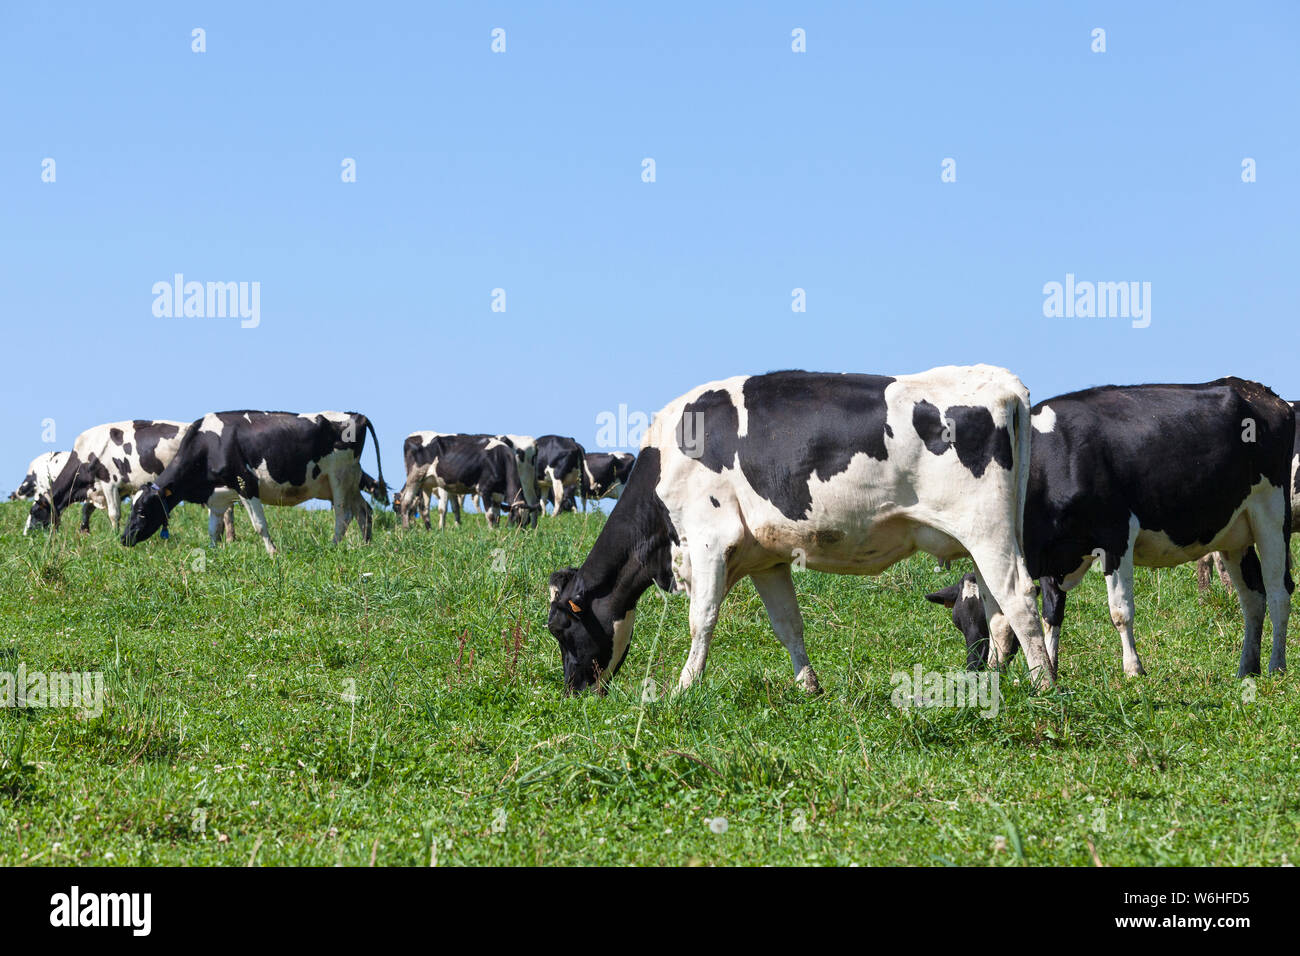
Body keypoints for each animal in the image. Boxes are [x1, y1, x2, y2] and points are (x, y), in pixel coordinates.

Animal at [27, 421, 189, 534]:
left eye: (34, 512)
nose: (26, 535)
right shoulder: (101, 488)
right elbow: (86, 510)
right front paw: (84, 532)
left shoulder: (109, 483)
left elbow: (113, 513)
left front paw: (115, 536)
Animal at [122, 411, 386, 554]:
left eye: (142, 511)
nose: (124, 538)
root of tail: (357, 415)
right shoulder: (217, 496)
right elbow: (213, 529)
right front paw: (213, 552)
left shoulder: (246, 483)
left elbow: (259, 525)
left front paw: (272, 552)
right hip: (348, 480)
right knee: (364, 511)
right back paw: (365, 546)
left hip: (339, 476)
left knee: (344, 515)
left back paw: (332, 546)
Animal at [398, 432, 537, 529]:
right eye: (515, 519)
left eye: (526, 522)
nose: (519, 535)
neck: (499, 458)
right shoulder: (484, 489)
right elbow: (490, 515)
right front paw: (492, 532)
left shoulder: (497, 494)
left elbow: (497, 515)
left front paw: (497, 530)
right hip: (415, 477)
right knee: (406, 502)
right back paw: (406, 529)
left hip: (426, 482)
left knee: (424, 507)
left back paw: (429, 530)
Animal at [547, 366, 1055, 696]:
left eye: (560, 628)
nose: (574, 692)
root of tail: (1002, 382)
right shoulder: (765, 559)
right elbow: (788, 624)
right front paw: (809, 687)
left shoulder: (709, 539)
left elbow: (701, 619)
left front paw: (682, 690)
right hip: (988, 538)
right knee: (995, 606)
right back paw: (993, 683)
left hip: (986, 529)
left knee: (1019, 599)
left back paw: (1044, 686)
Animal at [925, 379, 1293, 678]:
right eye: (959, 621)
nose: (977, 670)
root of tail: (1259, 392)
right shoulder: (1051, 554)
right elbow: (1051, 614)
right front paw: (1052, 666)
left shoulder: (1116, 536)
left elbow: (1120, 611)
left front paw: (1133, 669)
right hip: (1235, 534)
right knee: (1252, 598)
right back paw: (1247, 668)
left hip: (1273, 515)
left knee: (1279, 592)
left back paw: (1276, 666)